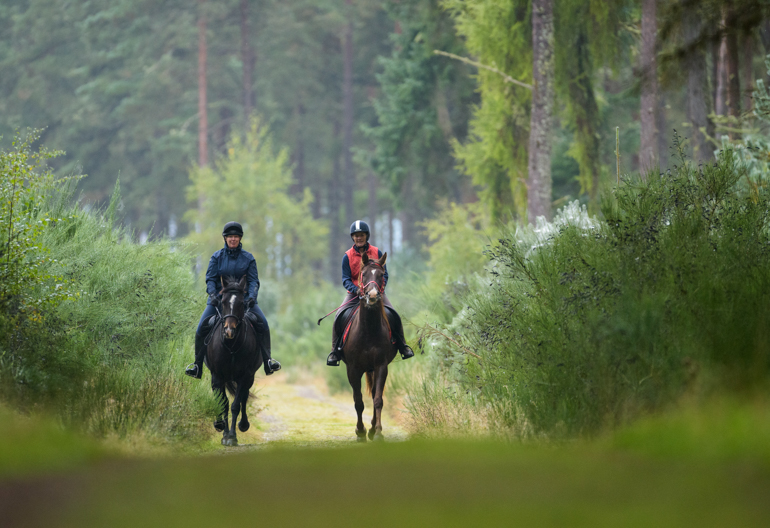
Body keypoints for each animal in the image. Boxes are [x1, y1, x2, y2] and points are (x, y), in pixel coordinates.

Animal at [204, 275, 262, 446]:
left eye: (242, 303)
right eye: (222, 301)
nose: (229, 331)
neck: (231, 345)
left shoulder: (244, 376)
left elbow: (236, 405)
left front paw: (232, 437)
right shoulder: (217, 375)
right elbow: (223, 403)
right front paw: (222, 430)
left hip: (249, 377)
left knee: (243, 397)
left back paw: (243, 425)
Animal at [340, 251, 398, 442]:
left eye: (381, 275)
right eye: (363, 274)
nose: (372, 296)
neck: (368, 330)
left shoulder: (381, 365)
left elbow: (378, 399)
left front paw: (378, 431)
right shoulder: (353, 369)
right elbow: (358, 401)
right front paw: (360, 431)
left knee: (373, 394)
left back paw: (373, 428)